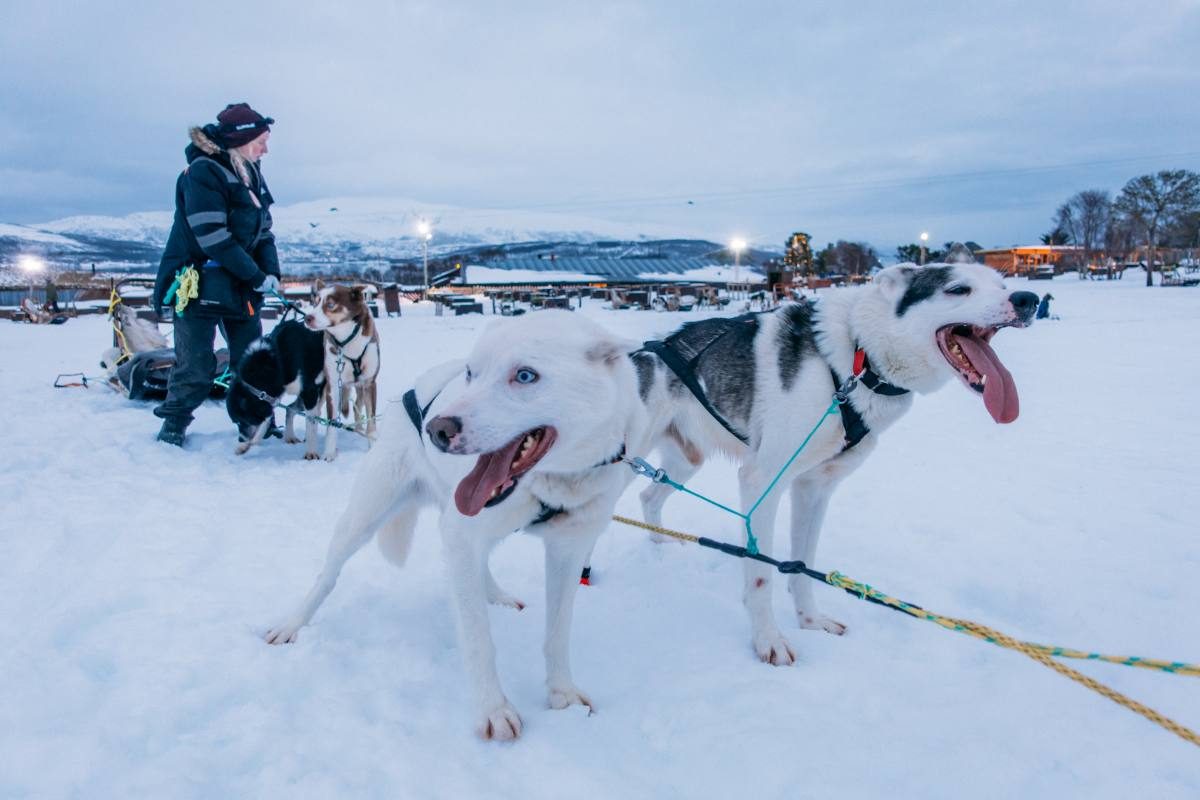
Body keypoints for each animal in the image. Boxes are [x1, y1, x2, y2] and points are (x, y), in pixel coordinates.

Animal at [225, 319, 326, 455]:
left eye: (242, 421)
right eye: (235, 422)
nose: (241, 439)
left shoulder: (310, 392)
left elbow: (311, 424)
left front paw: (311, 452)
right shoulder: (275, 393)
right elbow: (267, 418)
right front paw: (246, 445)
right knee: (290, 409)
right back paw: (290, 436)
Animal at [265, 311, 667, 743]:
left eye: (525, 376)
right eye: (472, 373)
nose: (437, 430)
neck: (553, 482)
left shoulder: (568, 549)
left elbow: (557, 634)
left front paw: (562, 693)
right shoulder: (461, 536)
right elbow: (478, 638)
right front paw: (493, 709)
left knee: (480, 563)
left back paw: (496, 594)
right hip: (365, 515)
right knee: (328, 575)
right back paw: (291, 624)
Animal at [304, 281, 379, 460]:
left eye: (330, 304)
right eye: (315, 302)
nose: (307, 318)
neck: (348, 342)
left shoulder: (369, 383)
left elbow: (371, 421)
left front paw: (373, 447)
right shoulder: (332, 387)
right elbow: (331, 424)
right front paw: (329, 453)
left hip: (358, 387)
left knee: (357, 406)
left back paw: (359, 430)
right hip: (320, 389)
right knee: (312, 418)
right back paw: (311, 449)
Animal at [638, 261, 1041, 662]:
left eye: (1002, 284)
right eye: (958, 289)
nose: (1027, 299)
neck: (859, 359)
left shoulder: (814, 487)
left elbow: (802, 565)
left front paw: (810, 620)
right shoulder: (762, 481)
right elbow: (761, 575)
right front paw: (769, 640)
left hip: (685, 461)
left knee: (649, 497)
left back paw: (660, 545)